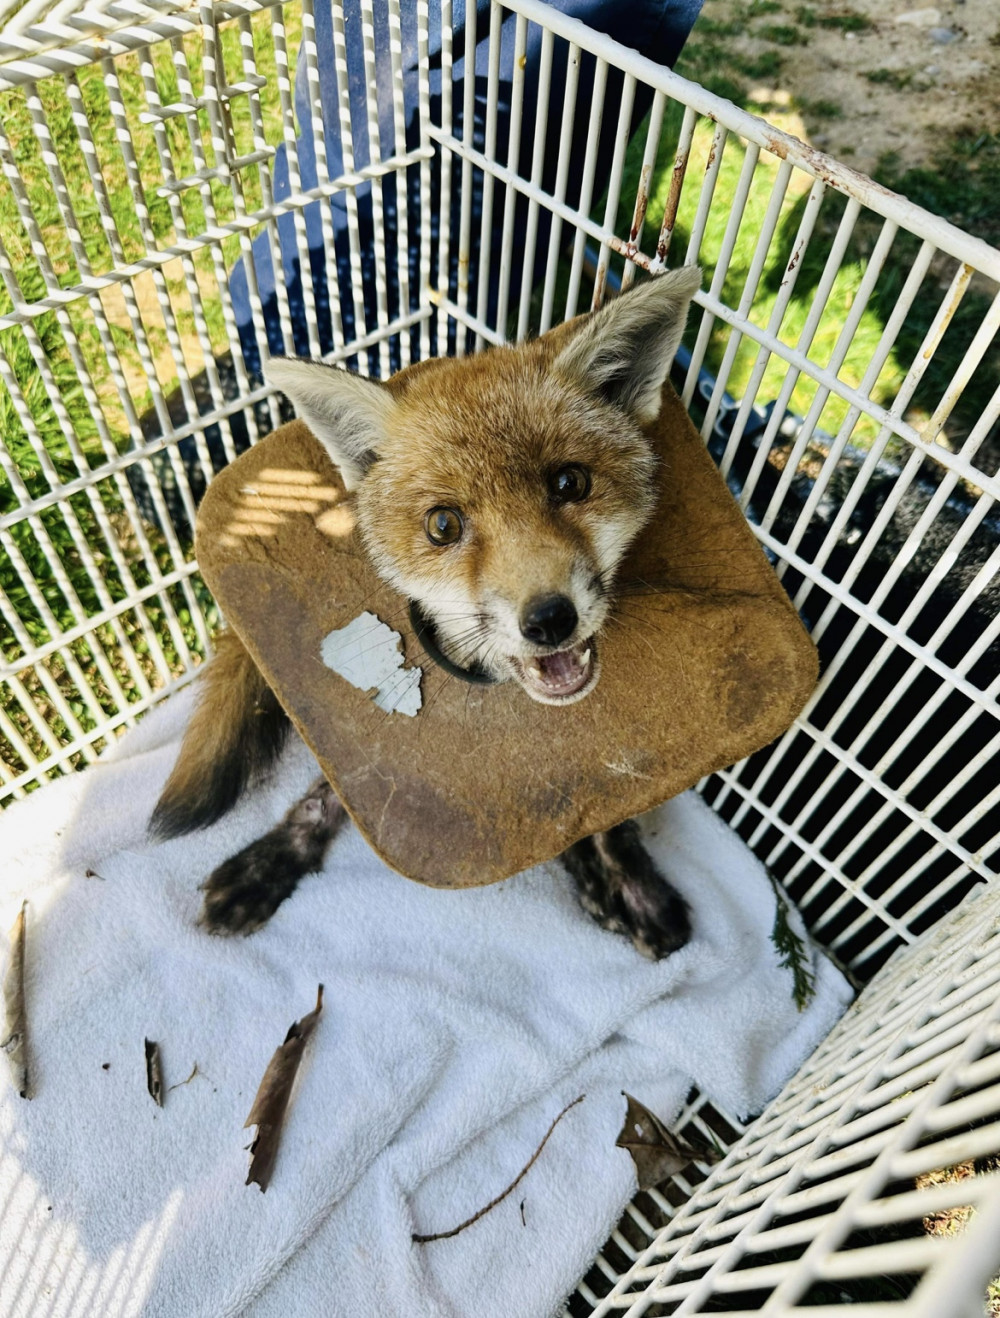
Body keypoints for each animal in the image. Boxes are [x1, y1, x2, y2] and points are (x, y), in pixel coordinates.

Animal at [152, 267, 706, 959]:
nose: (549, 620)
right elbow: (330, 794)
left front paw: (625, 877)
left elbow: (610, 808)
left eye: (570, 484)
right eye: (443, 525)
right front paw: (274, 859)